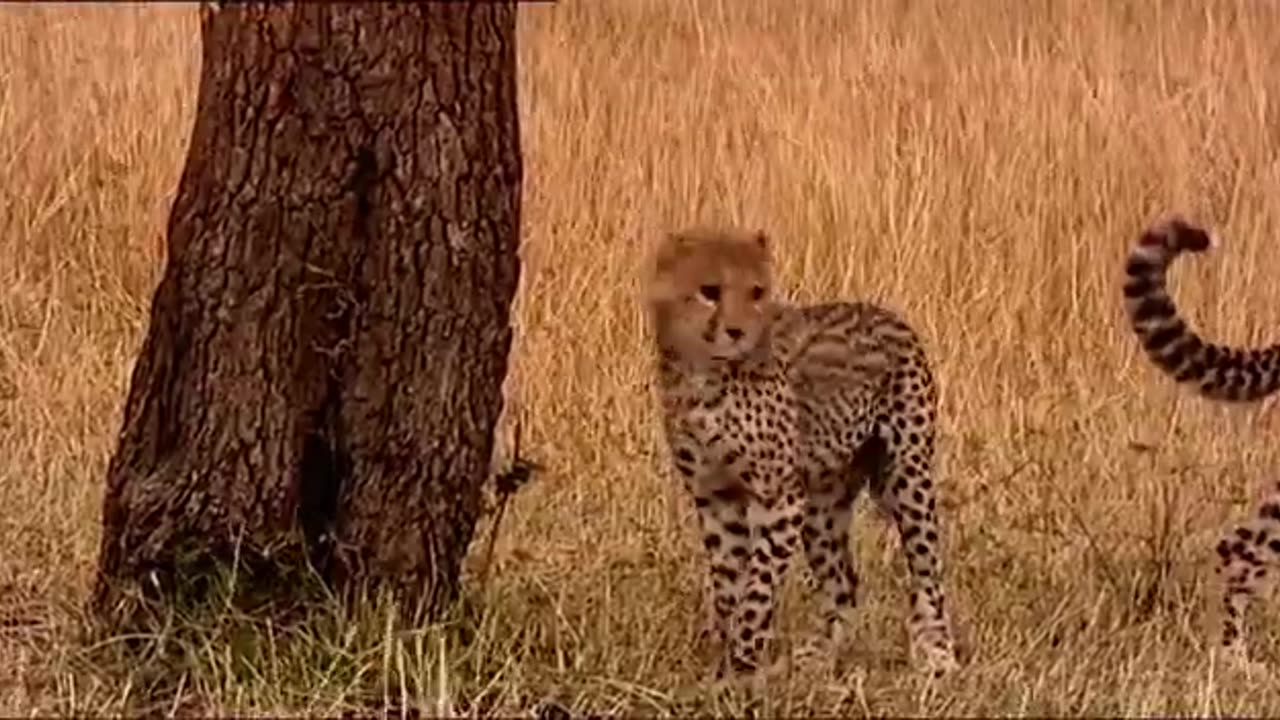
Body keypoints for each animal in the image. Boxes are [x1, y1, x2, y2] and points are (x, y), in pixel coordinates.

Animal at [645, 226, 957, 676]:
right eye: (710, 291)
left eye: (756, 292)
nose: (737, 332)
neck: (704, 375)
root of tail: (887, 313)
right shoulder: (716, 497)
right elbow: (729, 585)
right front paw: (725, 660)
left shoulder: (778, 499)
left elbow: (756, 590)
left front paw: (742, 661)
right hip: (821, 507)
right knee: (844, 585)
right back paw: (824, 658)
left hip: (907, 475)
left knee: (927, 566)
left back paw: (938, 654)